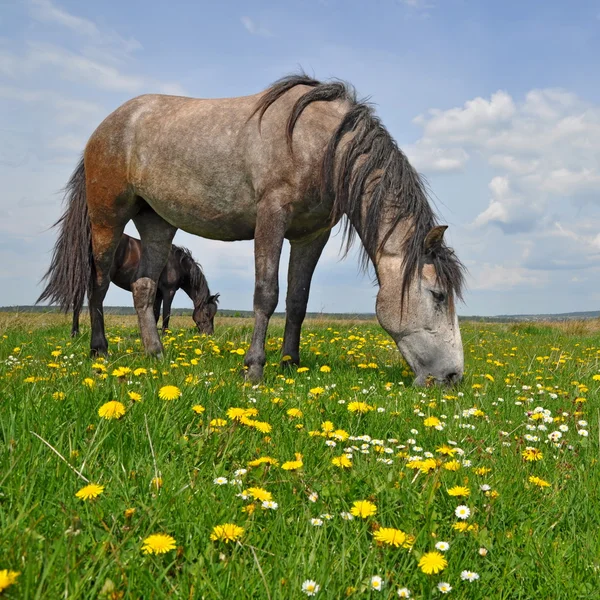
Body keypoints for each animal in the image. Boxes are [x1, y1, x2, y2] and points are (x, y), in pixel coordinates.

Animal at [67, 233, 219, 338]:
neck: (177, 264)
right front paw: (165, 335)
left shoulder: (158, 294)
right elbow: (166, 314)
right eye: (207, 313)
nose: (209, 334)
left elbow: (155, 314)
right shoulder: (169, 291)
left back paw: (75, 332)